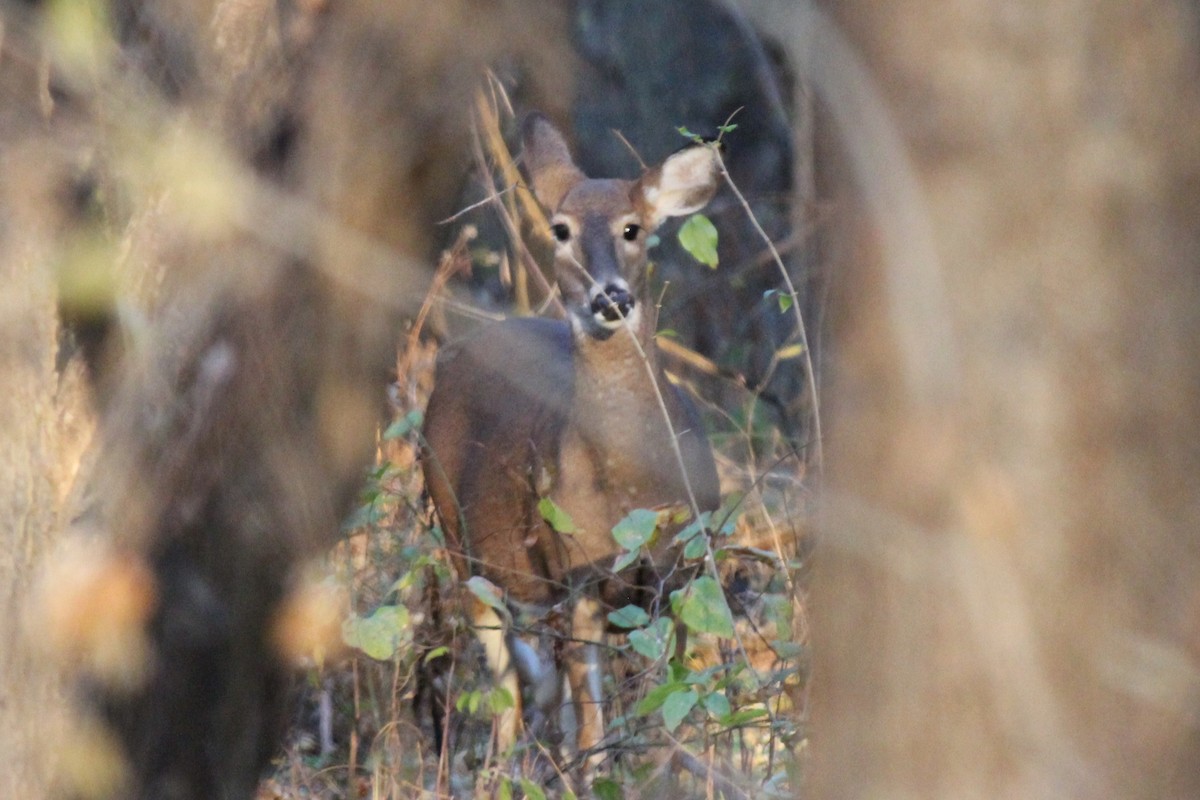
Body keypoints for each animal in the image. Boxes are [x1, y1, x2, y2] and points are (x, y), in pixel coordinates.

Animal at [421, 112, 721, 769]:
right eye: (561, 230)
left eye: (633, 228)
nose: (610, 297)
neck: (630, 487)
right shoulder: (576, 571)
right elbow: (594, 724)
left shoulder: (683, 567)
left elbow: (670, 706)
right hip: (461, 544)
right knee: (508, 689)